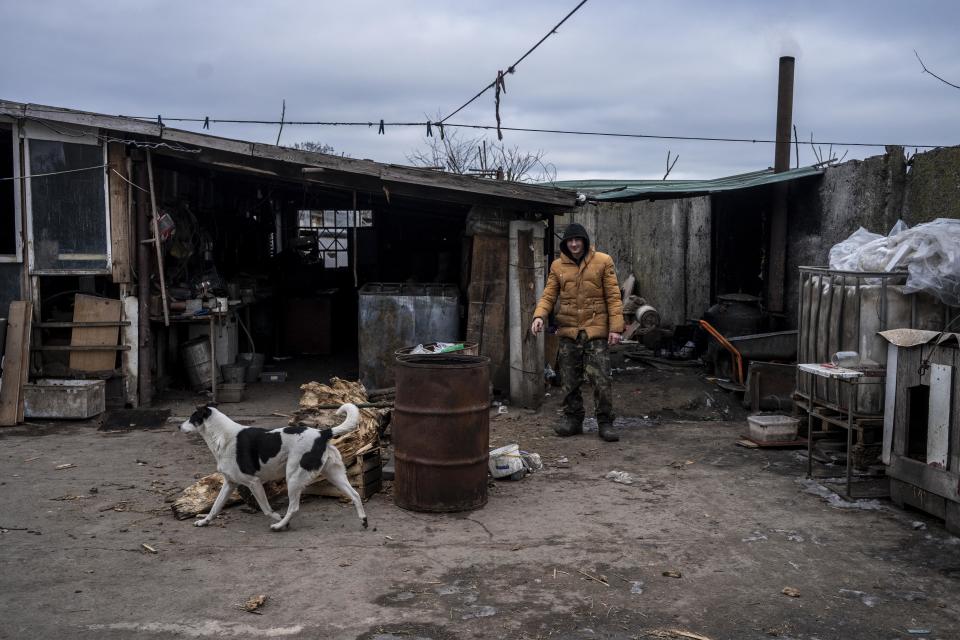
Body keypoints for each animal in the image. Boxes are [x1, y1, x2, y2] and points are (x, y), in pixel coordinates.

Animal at [182, 404, 370, 528]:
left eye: (191, 418)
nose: (179, 426)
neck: (221, 435)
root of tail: (322, 433)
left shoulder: (253, 482)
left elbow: (266, 509)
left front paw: (277, 517)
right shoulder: (230, 483)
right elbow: (215, 507)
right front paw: (203, 521)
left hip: (293, 477)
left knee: (293, 507)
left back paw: (280, 525)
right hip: (334, 475)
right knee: (355, 495)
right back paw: (363, 519)